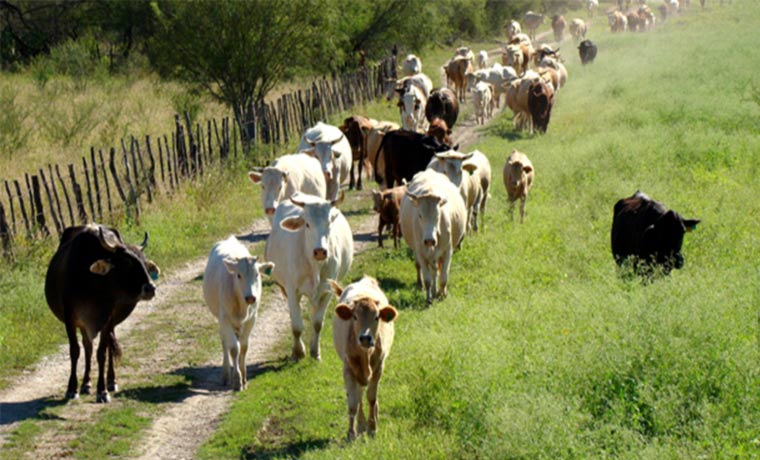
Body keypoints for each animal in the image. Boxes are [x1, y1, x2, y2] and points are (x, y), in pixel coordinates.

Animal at [45, 225, 160, 400]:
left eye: (144, 263)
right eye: (127, 263)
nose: (151, 288)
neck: (92, 283)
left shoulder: (107, 319)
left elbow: (102, 353)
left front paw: (102, 391)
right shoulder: (70, 319)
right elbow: (75, 350)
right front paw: (72, 388)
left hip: (110, 322)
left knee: (106, 348)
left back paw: (111, 381)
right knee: (87, 347)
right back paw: (86, 384)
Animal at [202, 237, 274, 392]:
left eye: (257, 274)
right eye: (239, 275)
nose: (251, 297)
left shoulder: (252, 318)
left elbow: (244, 347)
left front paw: (244, 377)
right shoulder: (225, 319)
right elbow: (234, 349)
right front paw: (237, 380)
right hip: (221, 319)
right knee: (225, 343)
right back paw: (225, 375)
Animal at [264, 192, 354, 362]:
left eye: (329, 223)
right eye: (307, 224)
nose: (320, 251)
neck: (314, 266)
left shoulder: (328, 291)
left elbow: (317, 323)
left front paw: (315, 351)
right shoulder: (292, 290)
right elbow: (296, 326)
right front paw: (298, 352)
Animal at [330, 274, 398, 440]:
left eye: (377, 317)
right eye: (354, 317)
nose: (365, 338)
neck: (364, 355)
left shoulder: (379, 367)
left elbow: (372, 398)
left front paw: (372, 428)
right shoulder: (348, 370)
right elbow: (353, 403)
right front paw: (351, 433)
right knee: (359, 394)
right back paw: (361, 424)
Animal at [400, 169, 466, 306]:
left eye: (438, 215)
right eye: (420, 215)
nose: (429, 240)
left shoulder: (447, 251)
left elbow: (444, 277)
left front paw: (442, 294)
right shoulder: (421, 252)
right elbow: (427, 279)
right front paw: (428, 299)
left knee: (437, 271)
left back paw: (438, 292)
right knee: (422, 268)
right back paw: (423, 286)